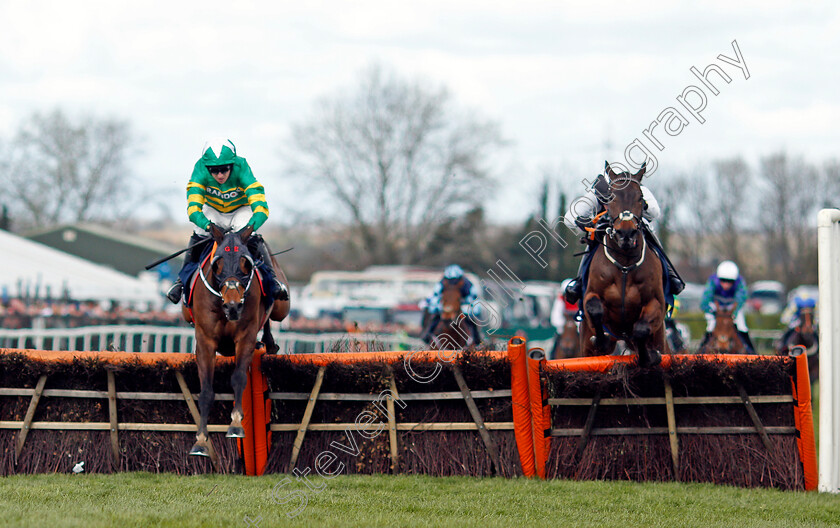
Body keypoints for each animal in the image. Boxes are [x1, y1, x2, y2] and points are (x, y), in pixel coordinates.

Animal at [185, 226, 290, 458]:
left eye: (246, 263)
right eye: (218, 263)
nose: (233, 306)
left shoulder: (245, 336)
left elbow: (239, 378)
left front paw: (235, 424)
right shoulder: (205, 341)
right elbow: (206, 391)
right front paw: (201, 441)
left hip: (282, 308)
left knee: (272, 316)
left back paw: (269, 342)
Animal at [580, 162, 668, 368]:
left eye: (640, 198)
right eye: (610, 198)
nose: (626, 234)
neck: (625, 264)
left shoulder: (656, 304)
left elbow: (641, 329)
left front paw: (649, 357)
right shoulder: (591, 295)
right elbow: (594, 309)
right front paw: (601, 340)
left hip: (660, 338)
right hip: (585, 347)